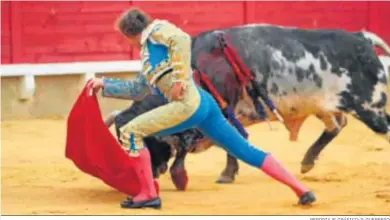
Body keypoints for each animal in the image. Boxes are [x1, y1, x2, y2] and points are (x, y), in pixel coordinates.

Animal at [105, 23, 390, 189]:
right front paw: (228, 173)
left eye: (146, 140)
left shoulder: (218, 111)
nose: (152, 172)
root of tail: (361, 37)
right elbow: (231, 142)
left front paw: (188, 175)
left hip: (370, 106)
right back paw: (307, 161)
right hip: (323, 105)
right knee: (336, 125)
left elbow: (206, 142)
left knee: (378, 128)